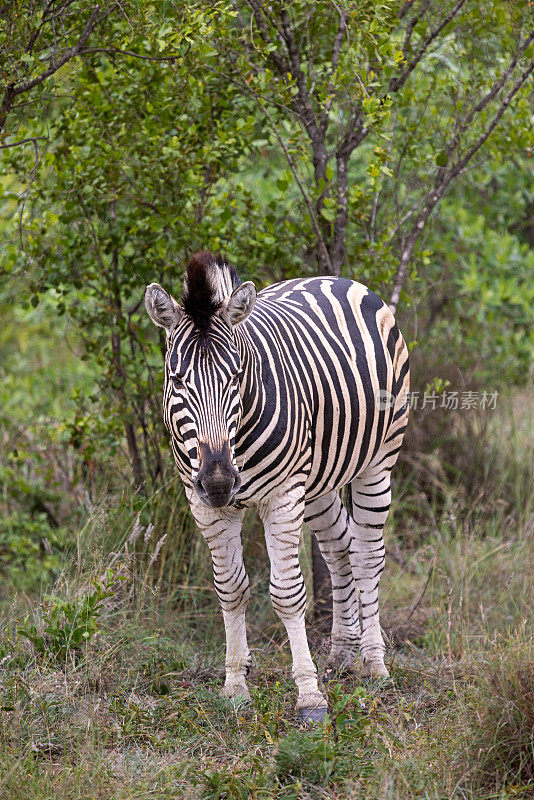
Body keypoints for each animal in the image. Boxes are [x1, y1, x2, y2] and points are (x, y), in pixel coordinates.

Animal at [146, 252, 410, 724]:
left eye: (236, 377)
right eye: (176, 381)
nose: (219, 481)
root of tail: (334, 278)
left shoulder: (283, 495)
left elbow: (287, 594)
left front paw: (309, 696)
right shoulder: (202, 503)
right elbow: (230, 589)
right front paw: (235, 685)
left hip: (379, 459)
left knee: (366, 557)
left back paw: (374, 665)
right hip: (320, 479)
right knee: (339, 549)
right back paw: (342, 653)